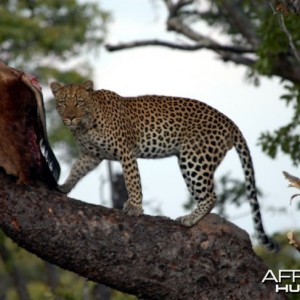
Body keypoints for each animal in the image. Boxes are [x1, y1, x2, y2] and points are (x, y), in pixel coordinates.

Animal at [51, 79, 278, 251]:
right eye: (62, 102)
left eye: (79, 102)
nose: (70, 117)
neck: (85, 125)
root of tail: (229, 121)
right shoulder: (91, 155)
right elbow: (77, 170)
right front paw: (64, 186)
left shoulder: (125, 152)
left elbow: (132, 181)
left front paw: (135, 207)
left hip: (194, 157)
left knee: (211, 196)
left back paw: (189, 219)